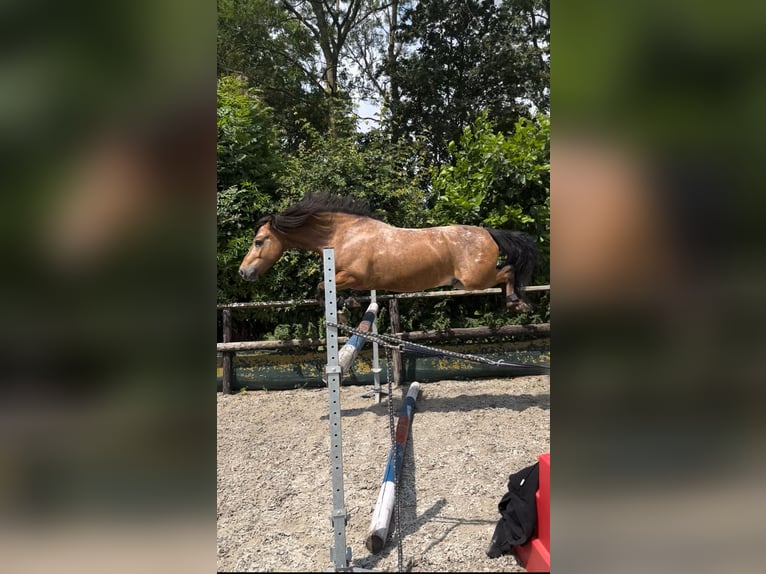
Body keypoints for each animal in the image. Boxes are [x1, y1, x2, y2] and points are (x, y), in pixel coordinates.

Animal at [240, 197, 540, 316]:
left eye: (258, 242)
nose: (244, 273)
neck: (343, 233)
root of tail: (487, 232)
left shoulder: (351, 275)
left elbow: (320, 287)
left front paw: (340, 311)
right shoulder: (356, 280)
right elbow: (336, 291)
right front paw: (349, 305)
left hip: (473, 280)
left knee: (508, 272)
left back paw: (517, 303)